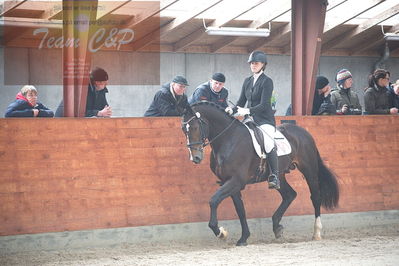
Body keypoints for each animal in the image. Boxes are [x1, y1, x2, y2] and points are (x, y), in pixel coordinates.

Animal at [182, 101, 340, 245]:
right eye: (184, 129)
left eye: (195, 127)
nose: (195, 158)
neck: (229, 139)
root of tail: (304, 132)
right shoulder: (230, 182)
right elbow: (240, 210)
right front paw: (243, 238)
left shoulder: (236, 181)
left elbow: (214, 200)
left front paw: (220, 232)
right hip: (279, 176)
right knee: (290, 194)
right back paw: (277, 227)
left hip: (309, 170)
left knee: (315, 197)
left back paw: (316, 232)